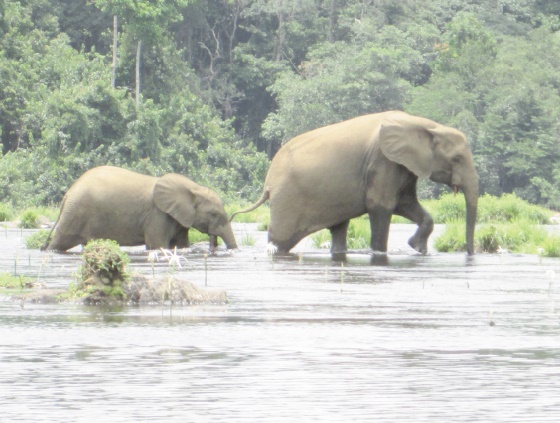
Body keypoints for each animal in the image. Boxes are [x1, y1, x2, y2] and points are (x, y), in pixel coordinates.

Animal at [43, 166, 236, 252]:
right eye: (214, 214)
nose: (214, 244)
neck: (193, 187)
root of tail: (69, 192)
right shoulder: (157, 215)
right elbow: (158, 246)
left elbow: (180, 245)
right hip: (75, 213)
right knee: (60, 241)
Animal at [230, 112, 480, 255]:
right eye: (457, 159)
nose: (469, 255)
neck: (426, 124)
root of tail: (268, 182)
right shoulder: (383, 161)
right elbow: (381, 205)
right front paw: (382, 253)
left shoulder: (402, 165)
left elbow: (405, 203)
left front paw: (417, 248)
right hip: (287, 198)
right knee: (281, 240)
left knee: (338, 229)